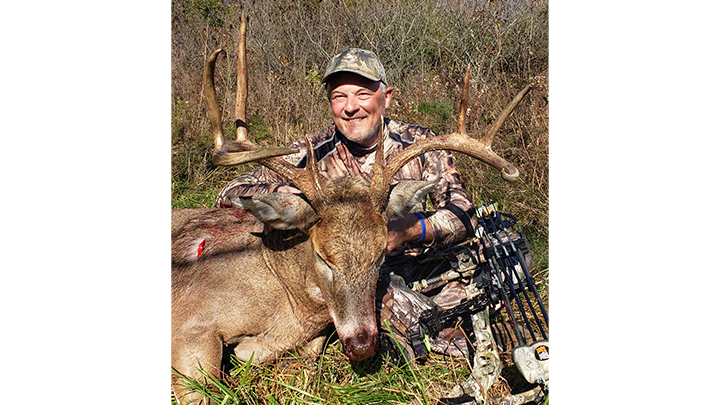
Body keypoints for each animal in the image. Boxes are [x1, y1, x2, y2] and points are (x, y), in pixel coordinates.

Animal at [169, 10, 528, 404]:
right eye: (322, 256)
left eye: (381, 255)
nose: (362, 345)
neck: (285, 295)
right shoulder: (190, 323)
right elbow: (204, 386)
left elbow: (299, 353)